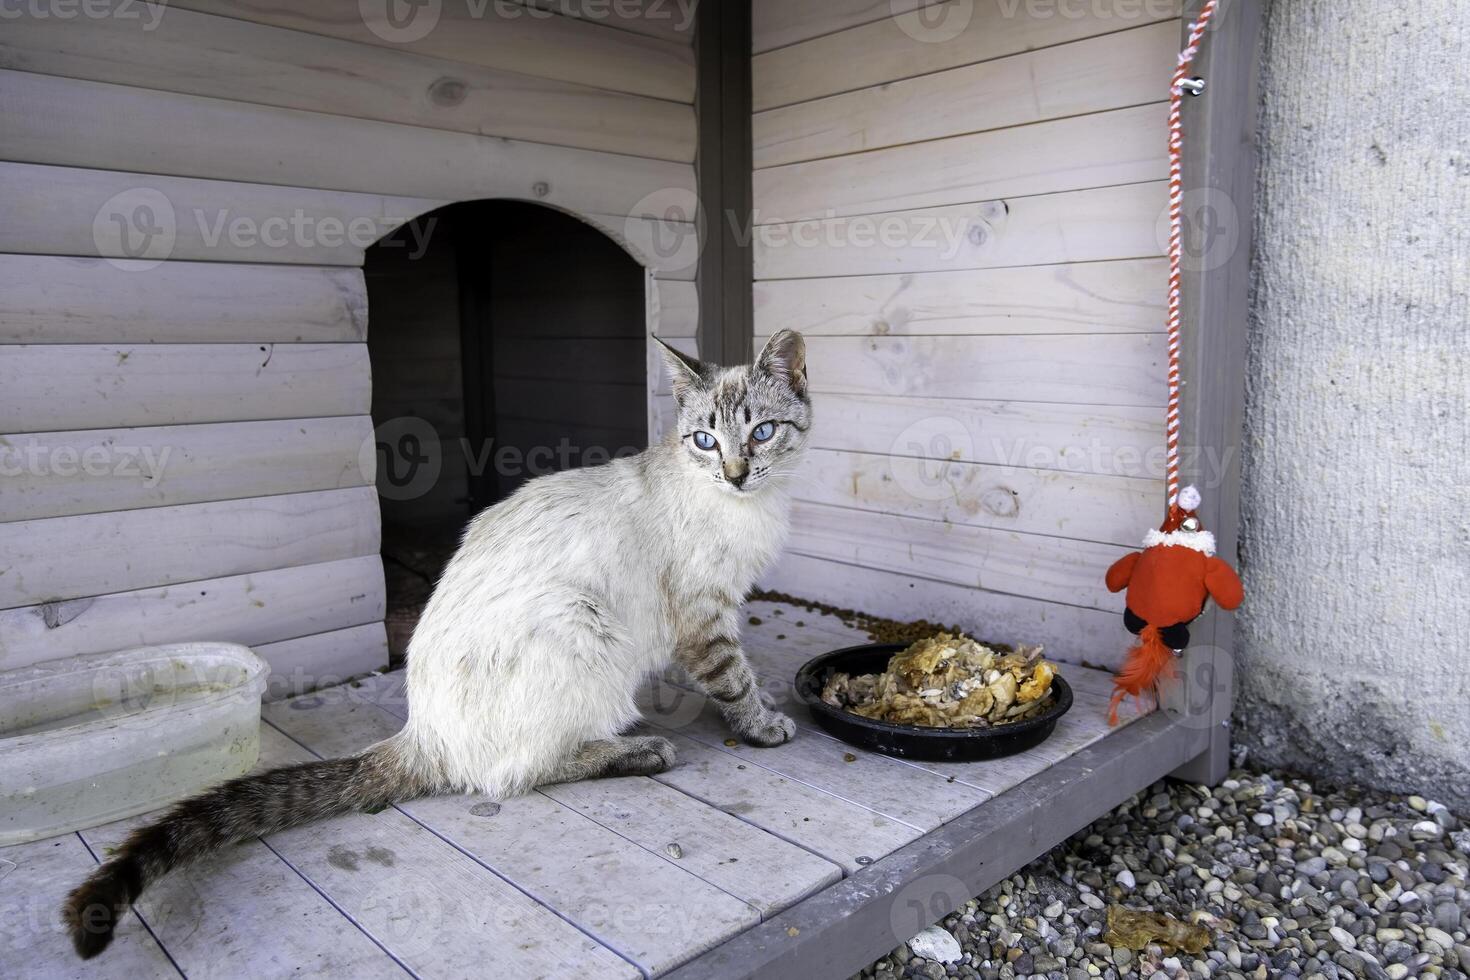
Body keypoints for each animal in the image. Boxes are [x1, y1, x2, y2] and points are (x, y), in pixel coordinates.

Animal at [63, 329, 817, 957]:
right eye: (704, 441)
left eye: (762, 433)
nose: (735, 474)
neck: (746, 507)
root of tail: (419, 731)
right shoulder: (704, 616)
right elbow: (735, 681)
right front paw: (766, 726)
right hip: (581, 621)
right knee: (514, 773)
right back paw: (640, 750)